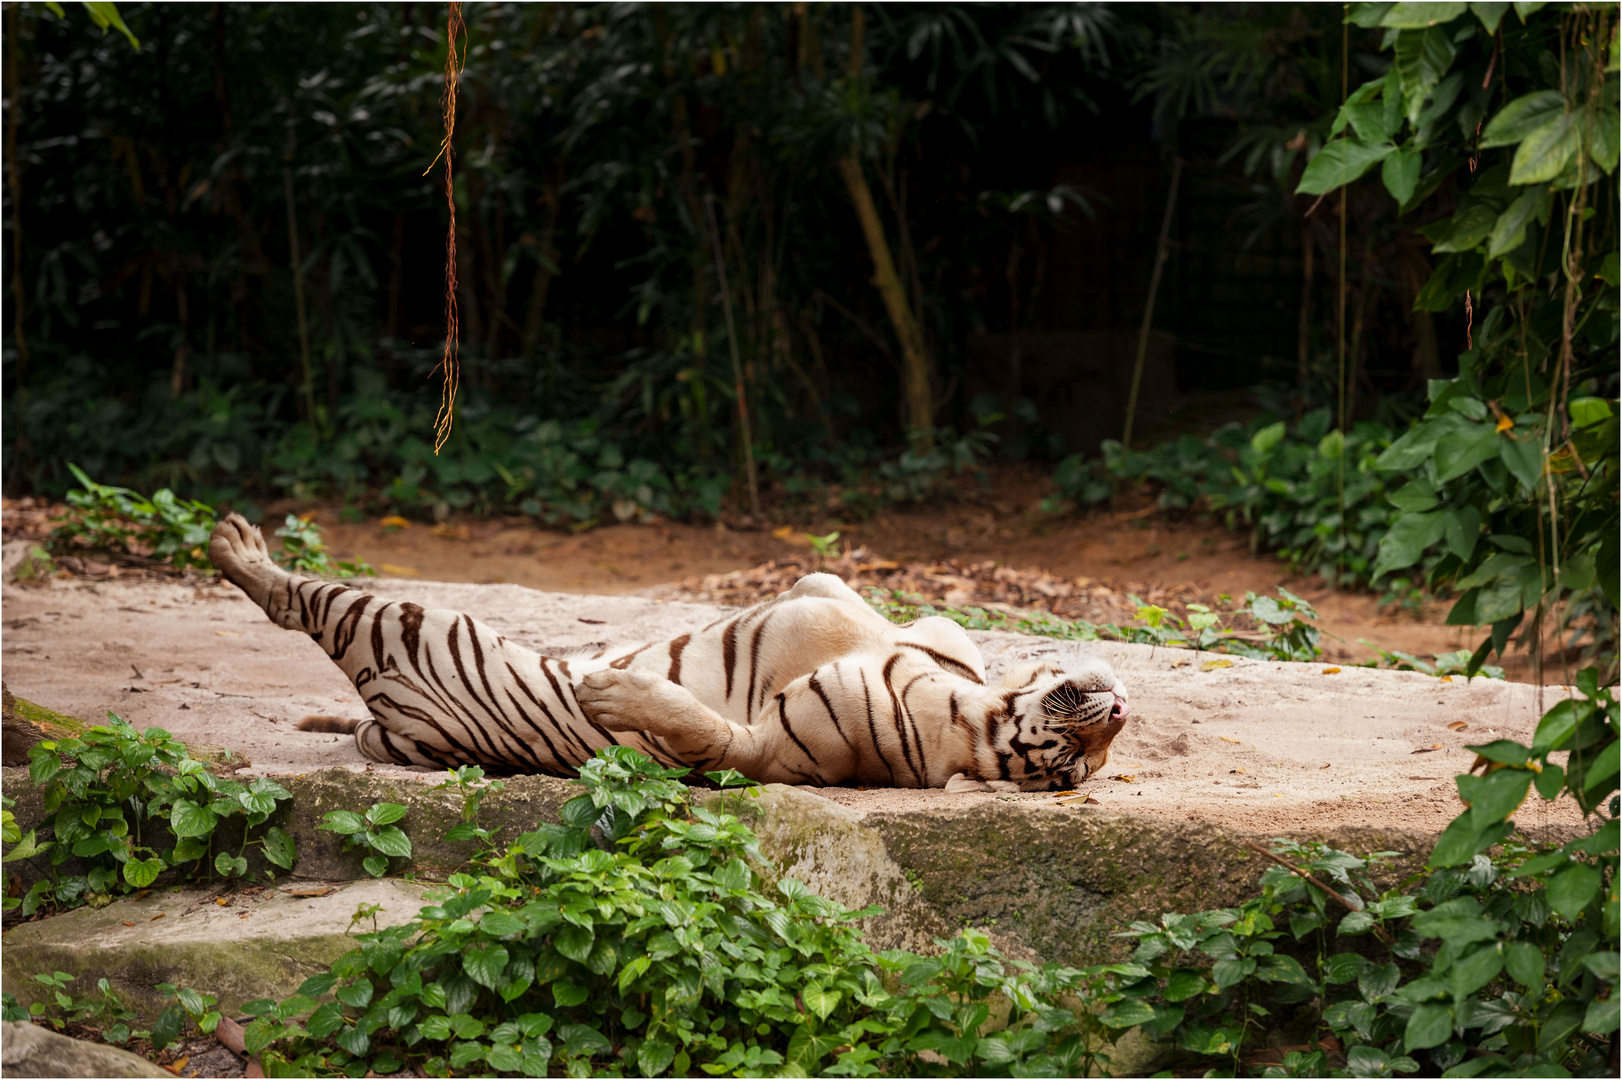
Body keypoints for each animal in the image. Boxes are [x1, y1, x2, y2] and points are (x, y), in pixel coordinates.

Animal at [209, 512, 1128, 791]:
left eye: (1072, 764)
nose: (1121, 706)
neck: (969, 703)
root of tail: (393, 725)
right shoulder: (878, 609)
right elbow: (820, 587)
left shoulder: (771, 749)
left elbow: (700, 724)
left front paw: (611, 696)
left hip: (408, 625)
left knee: (304, 601)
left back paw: (235, 546)